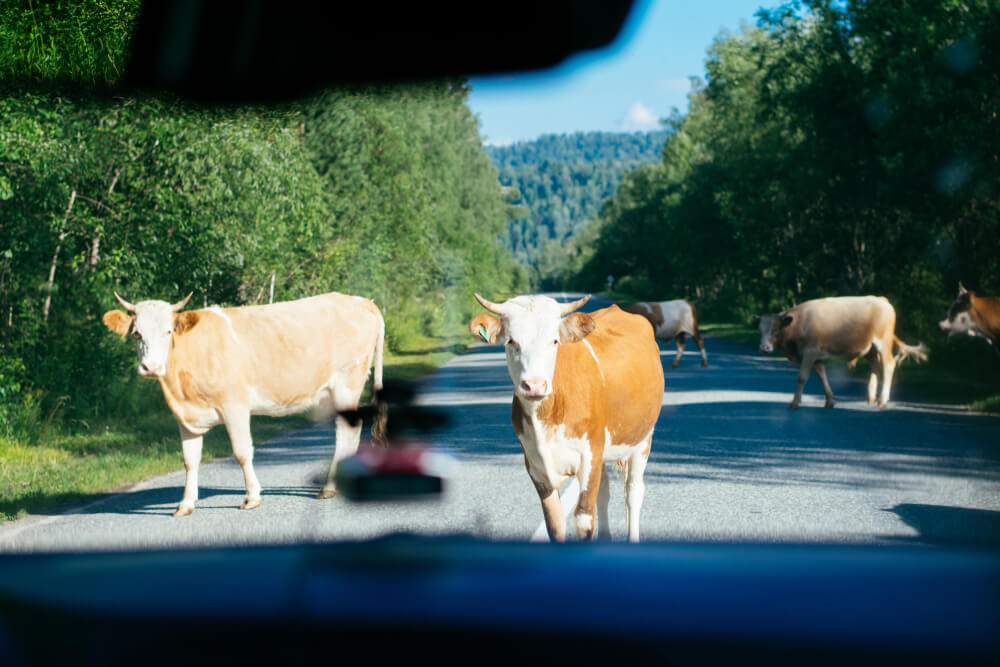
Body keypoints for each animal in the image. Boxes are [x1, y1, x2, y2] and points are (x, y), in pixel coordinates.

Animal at [101, 290, 382, 516]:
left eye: (168, 331)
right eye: (136, 334)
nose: (151, 367)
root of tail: (360, 301)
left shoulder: (234, 405)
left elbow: (242, 451)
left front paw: (252, 497)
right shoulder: (185, 416)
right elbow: (189, 459)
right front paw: (186, 504)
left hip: (347, 383)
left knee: (347, 431)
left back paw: (329, 487)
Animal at [468, 294, 664, 544]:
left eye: (554, 341)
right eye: (511, 341)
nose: (534, 385)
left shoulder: (589, 455)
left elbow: (583, 519)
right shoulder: (535, 465)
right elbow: (555, 523)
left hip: (643, 438)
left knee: (633, 491)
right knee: (604, 492)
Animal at [756, 296, 928, 410]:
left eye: (776, 329)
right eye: (760, 329)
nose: (764, 347)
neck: (799, 323)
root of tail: (881, 299)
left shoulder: (810, 352)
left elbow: (802, 377)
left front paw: (794, 402)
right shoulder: (816, 355)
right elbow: (822, 375)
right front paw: (830, 401)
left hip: (883, 343)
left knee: (888, 366)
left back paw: (882, 401)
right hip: (869, 348)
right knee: (876, 367)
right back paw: (871, 398)